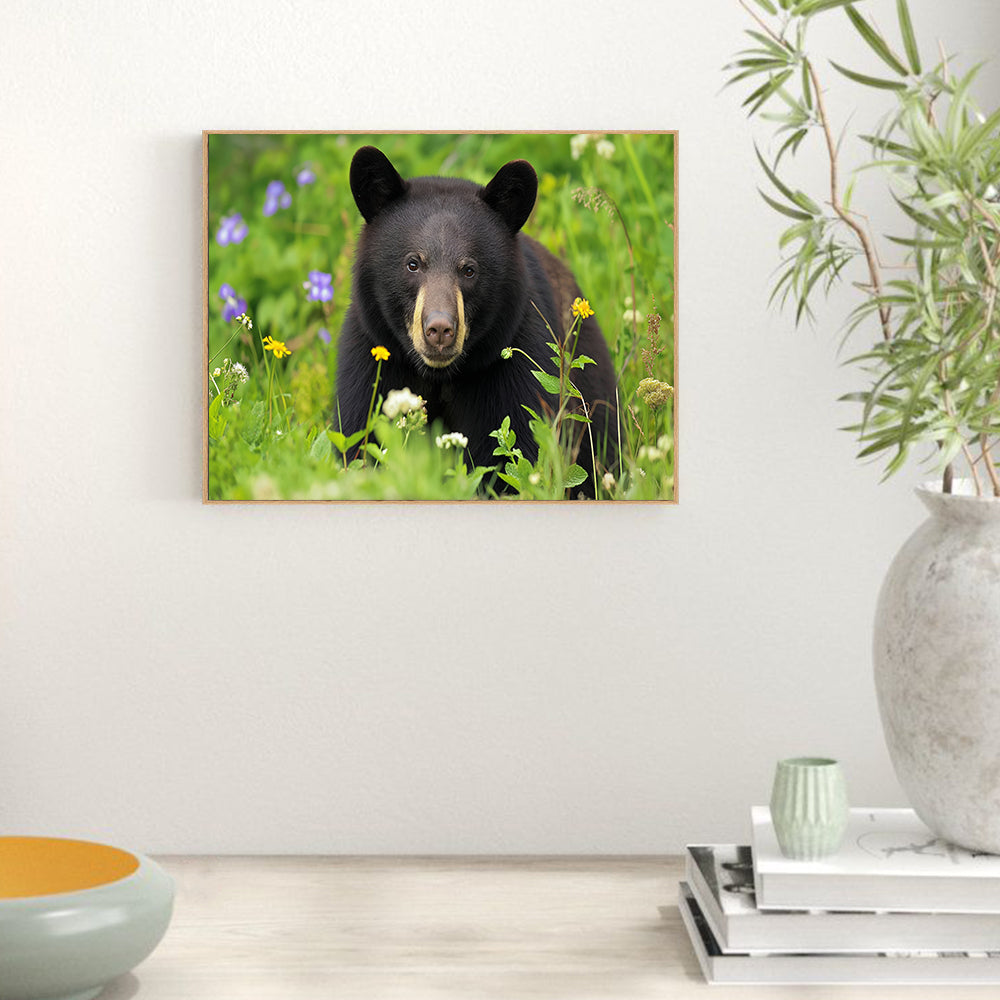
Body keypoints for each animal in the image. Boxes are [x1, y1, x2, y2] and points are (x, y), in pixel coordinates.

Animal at [334, 145, 619, 495]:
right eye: (413, 263)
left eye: (469, 269)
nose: (439, 329)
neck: (440, 378)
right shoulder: (372, 363)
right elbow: (359, 439)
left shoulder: (514, 370)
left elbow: (517, 456)